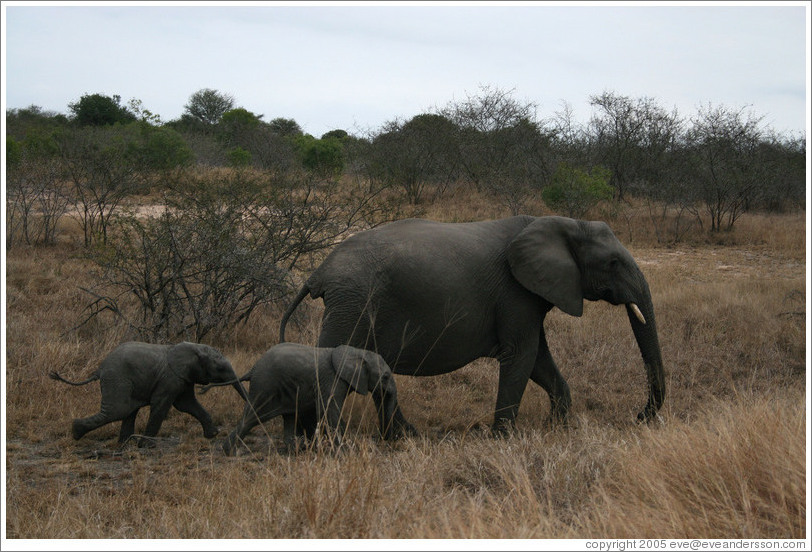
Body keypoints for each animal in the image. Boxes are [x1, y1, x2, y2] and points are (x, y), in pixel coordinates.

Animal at [50, 338, 247, 446]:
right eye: (220, 368)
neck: (194, 346)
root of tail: (99, 369)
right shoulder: (170, 378)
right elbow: (162, 405)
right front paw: (145, 445)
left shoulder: (183, 378)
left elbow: (187, 404)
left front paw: (212, 435)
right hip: (118, 379)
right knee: (118, 410)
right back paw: (76, 431)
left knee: (127, 410)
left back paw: (124, 443)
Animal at [222, 342, 416, 454]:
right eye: (385, 377)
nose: (385, 439)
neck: (358, 352)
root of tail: (253, 368)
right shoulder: (332, 379)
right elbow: (329, 410)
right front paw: (347, 448)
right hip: (265, 386)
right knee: (251, 418)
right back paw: (229, 451)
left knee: (289, 416)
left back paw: (298, 449)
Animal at [280, 216, 668, 436]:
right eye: (613, 262)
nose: (639, 417)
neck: (565, 223)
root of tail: (319, 274)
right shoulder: (515, 291)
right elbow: (522, 356)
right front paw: (501, 439)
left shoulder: (527, 294)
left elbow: (538, 359)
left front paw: (558, 429)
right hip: (352, 304)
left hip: (354, 305)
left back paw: (405, 436)